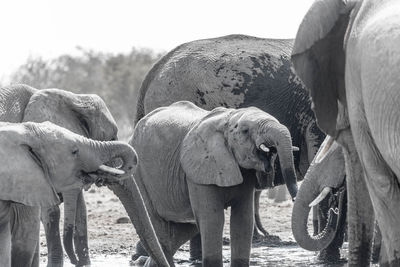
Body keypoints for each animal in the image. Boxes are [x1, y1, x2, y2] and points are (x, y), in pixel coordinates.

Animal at [129, 101, 300, 266]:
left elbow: (243, 221)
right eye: (245, 131)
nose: (294, 199)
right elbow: (213, 220)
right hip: (139, 174)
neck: (228, 119)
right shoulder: (200, 168)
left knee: (185, 228)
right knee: (158, 225)